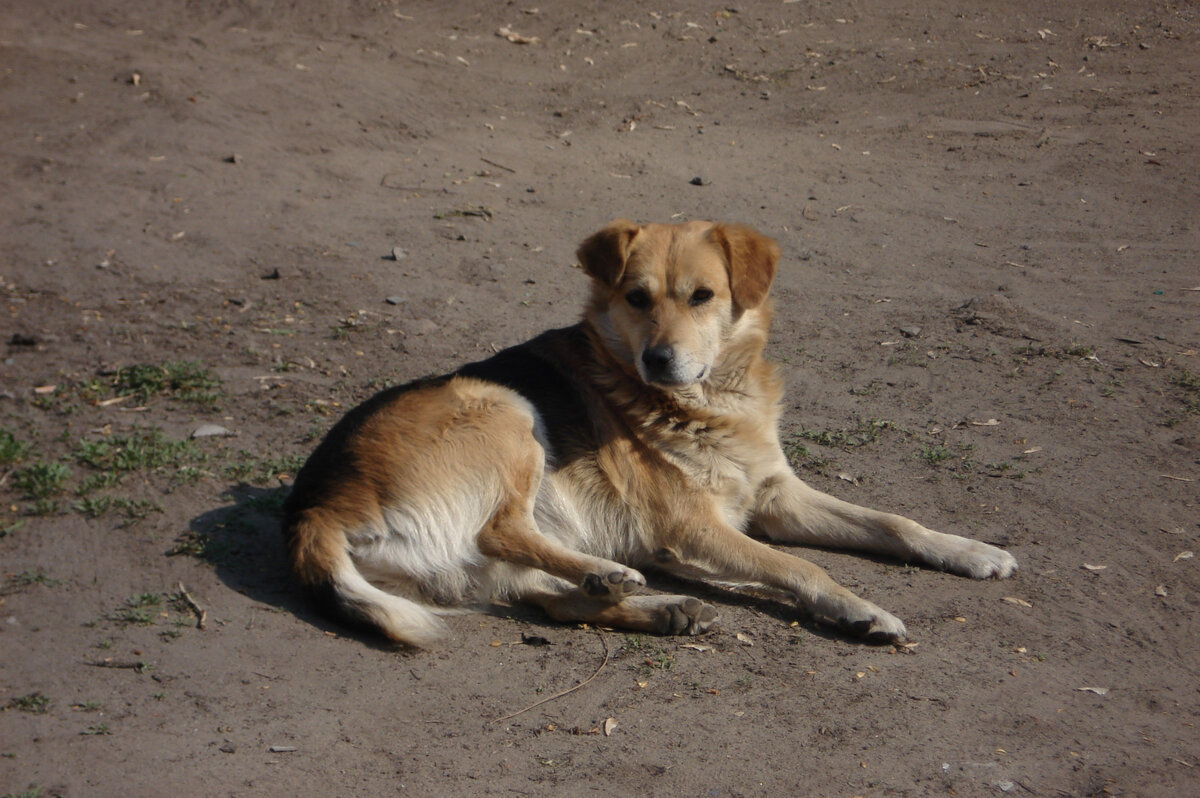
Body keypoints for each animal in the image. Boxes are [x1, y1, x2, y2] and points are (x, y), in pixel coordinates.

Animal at [280, 219, 1012, 648]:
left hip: (479, 557)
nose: (658, 360)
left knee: (550, 601)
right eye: (636, 298)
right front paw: (861, 608)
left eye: (702, 297)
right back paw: (611, 574)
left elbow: (894, 523)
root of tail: (312, 509)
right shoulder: (693, 528)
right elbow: (799, 566)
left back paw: (657, 607)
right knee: (503, 529)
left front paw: (970, 550)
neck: (710, 401)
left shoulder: (776, 497)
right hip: (507, 410)